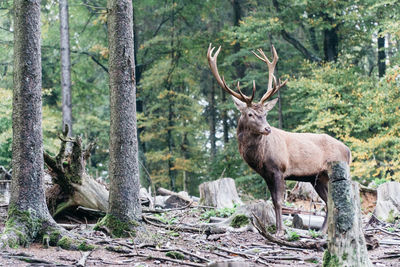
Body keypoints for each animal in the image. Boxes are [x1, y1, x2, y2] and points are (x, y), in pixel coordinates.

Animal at [208, 44, 352, 237]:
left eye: (265, 114)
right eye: (250, 114)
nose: (267, 129)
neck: (260, 157)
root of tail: (348, 151)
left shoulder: (279, 169)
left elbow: (278, 202)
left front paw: (280, 231)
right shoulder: (266, 174)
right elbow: (272, 201)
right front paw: (277, 229)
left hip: (335, 171)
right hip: (318, 178)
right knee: (327, 201)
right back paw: (322, 232)